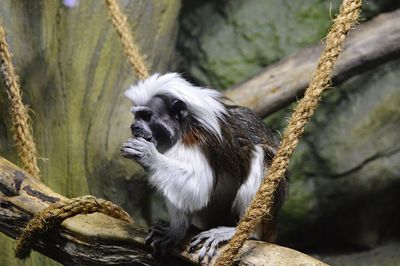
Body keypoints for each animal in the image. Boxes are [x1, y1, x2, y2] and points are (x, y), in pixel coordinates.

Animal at [120, 72, 286, 262]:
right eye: (136, 116)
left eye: (146, 116)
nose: (134, 126)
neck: (183, 129)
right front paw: (175, 230)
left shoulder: (199, 141)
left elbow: (197, 188)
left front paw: (148, 156)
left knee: (261, 154)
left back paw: (243, 230)